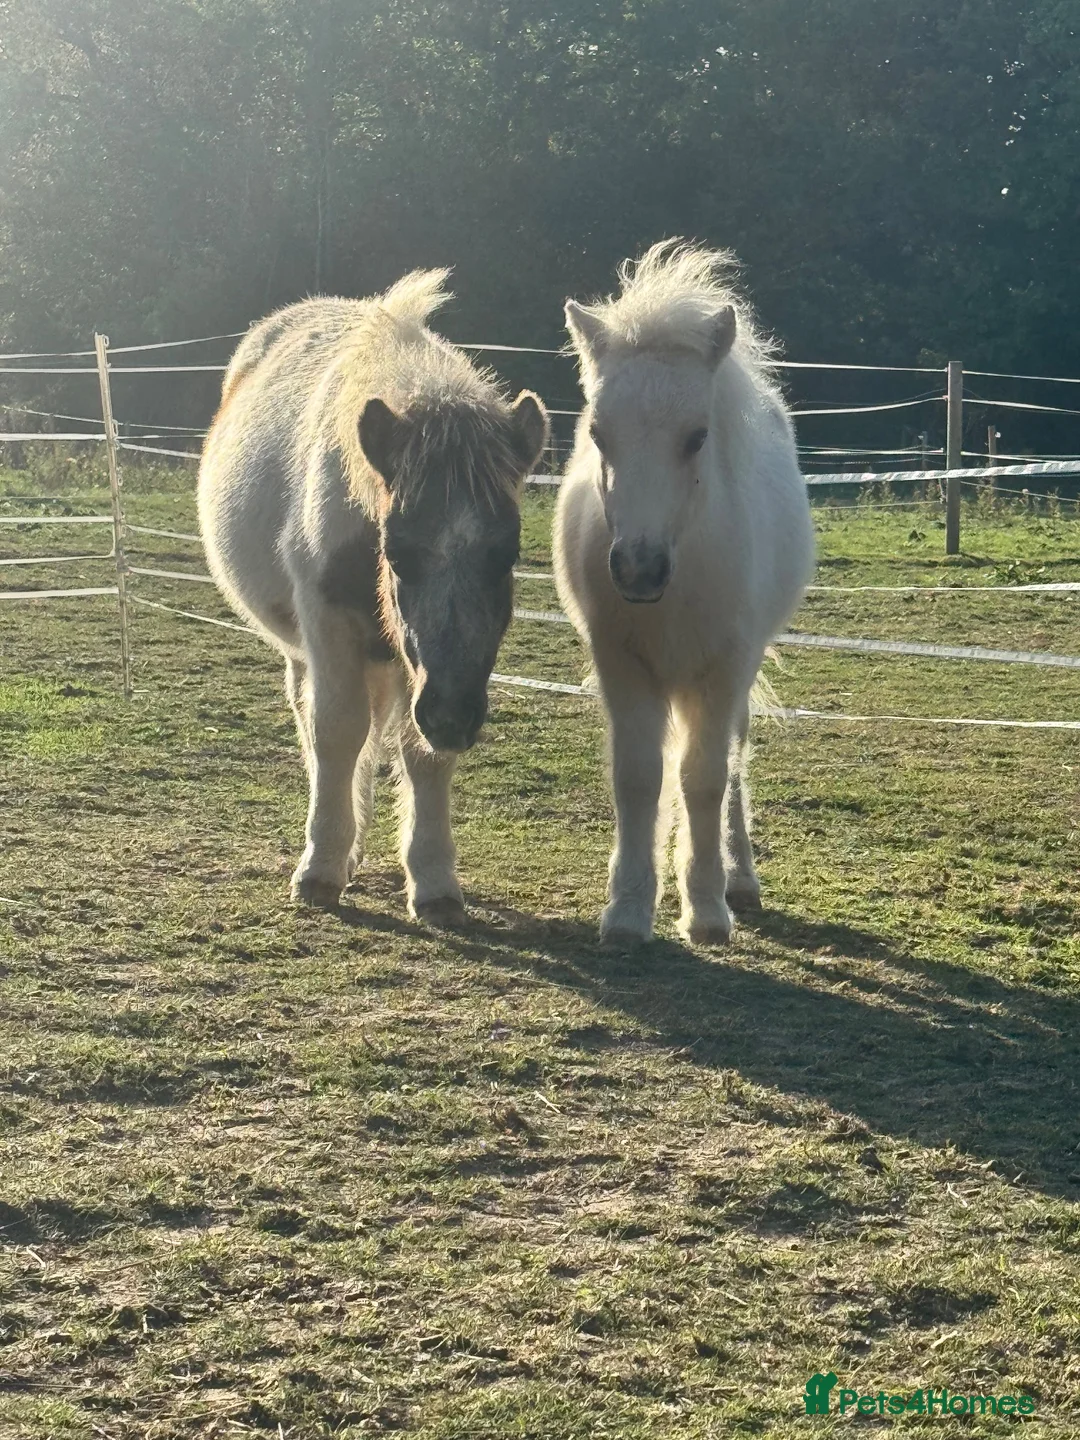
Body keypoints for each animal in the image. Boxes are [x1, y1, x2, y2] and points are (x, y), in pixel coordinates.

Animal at [198, 271, 548, 919]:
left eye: (505, 556)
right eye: (399, 553)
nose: (453, 715)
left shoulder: (424, 672)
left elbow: (419, 751)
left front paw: (433, 882)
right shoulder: (329, 625)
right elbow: (336, 732)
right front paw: (320, 868)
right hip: (309, 648)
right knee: (317, 722)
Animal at [553, 240, 814, 945]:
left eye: (696, 437)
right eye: (598, 435)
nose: (638, 570)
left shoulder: (723, 670)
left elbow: (705, 780)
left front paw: (706, 910)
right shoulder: (622, 665)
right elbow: (640, 779)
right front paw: (628, 908)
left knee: (735, 762)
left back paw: (739, 878)